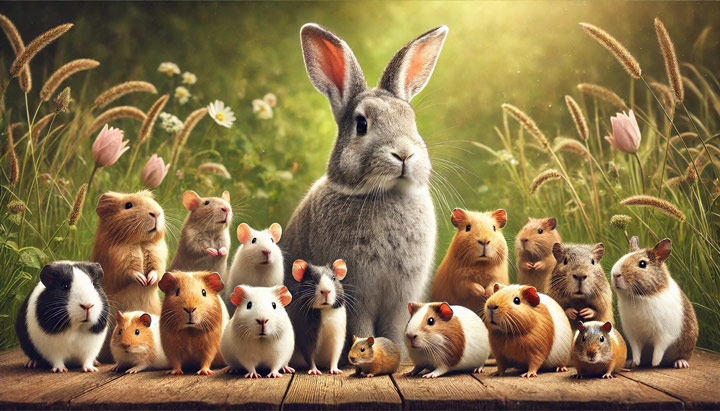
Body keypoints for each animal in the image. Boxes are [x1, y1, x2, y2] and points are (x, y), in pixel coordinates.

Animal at [282, 23, 449, 351]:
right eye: (361, 125)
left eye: (411, 121)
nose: (404, 154)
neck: (387, 194)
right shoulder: (356, 296)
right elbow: (359, 327)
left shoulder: (401, 298)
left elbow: (397, 329)